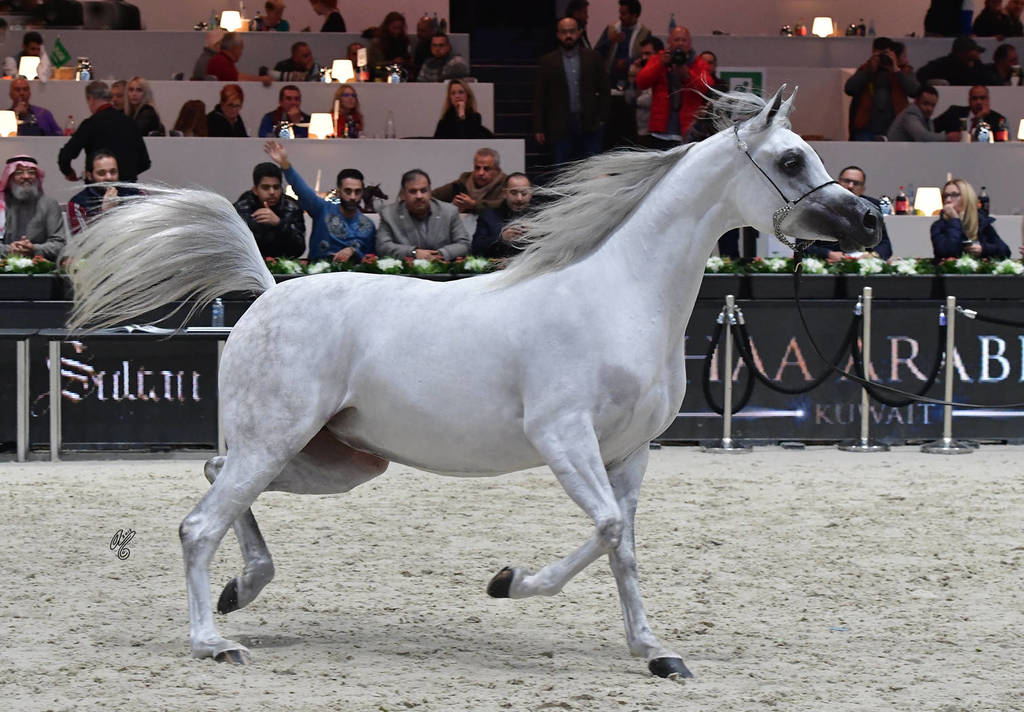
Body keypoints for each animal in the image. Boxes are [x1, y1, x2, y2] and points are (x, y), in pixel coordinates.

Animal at [64, 87, 880, 679]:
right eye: (791, 159)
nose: (869, 224)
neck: (620, 295)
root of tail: (268, 292)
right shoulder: (562, 436)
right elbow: (605, 529)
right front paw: (508, 582)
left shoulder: (630, 453)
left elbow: (624, 545)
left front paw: (655, 652)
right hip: (279, 442)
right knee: (199, 524)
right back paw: (213, 641)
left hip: (334, 459)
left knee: (214, 478)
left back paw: (245, 589)